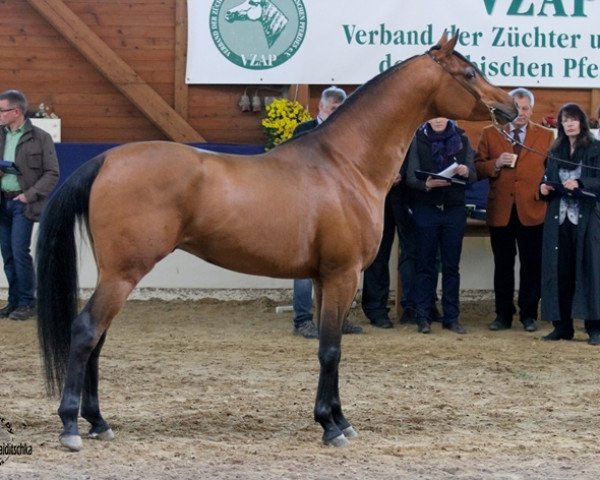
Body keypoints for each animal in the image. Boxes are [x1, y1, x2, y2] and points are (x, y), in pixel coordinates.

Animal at [36, 32, 516, 450]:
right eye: (469, 73)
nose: (510, 105)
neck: (346, 165)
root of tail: (107, 158)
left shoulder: (325, 279)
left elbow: (330, 346)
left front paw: (338, 418)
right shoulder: (341, 275)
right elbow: (330, 350)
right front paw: (330, 427)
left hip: (115, 274)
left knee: (98, 338)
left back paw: (98, 422)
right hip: (123, 273)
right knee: (86, 331)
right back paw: (71, 426)